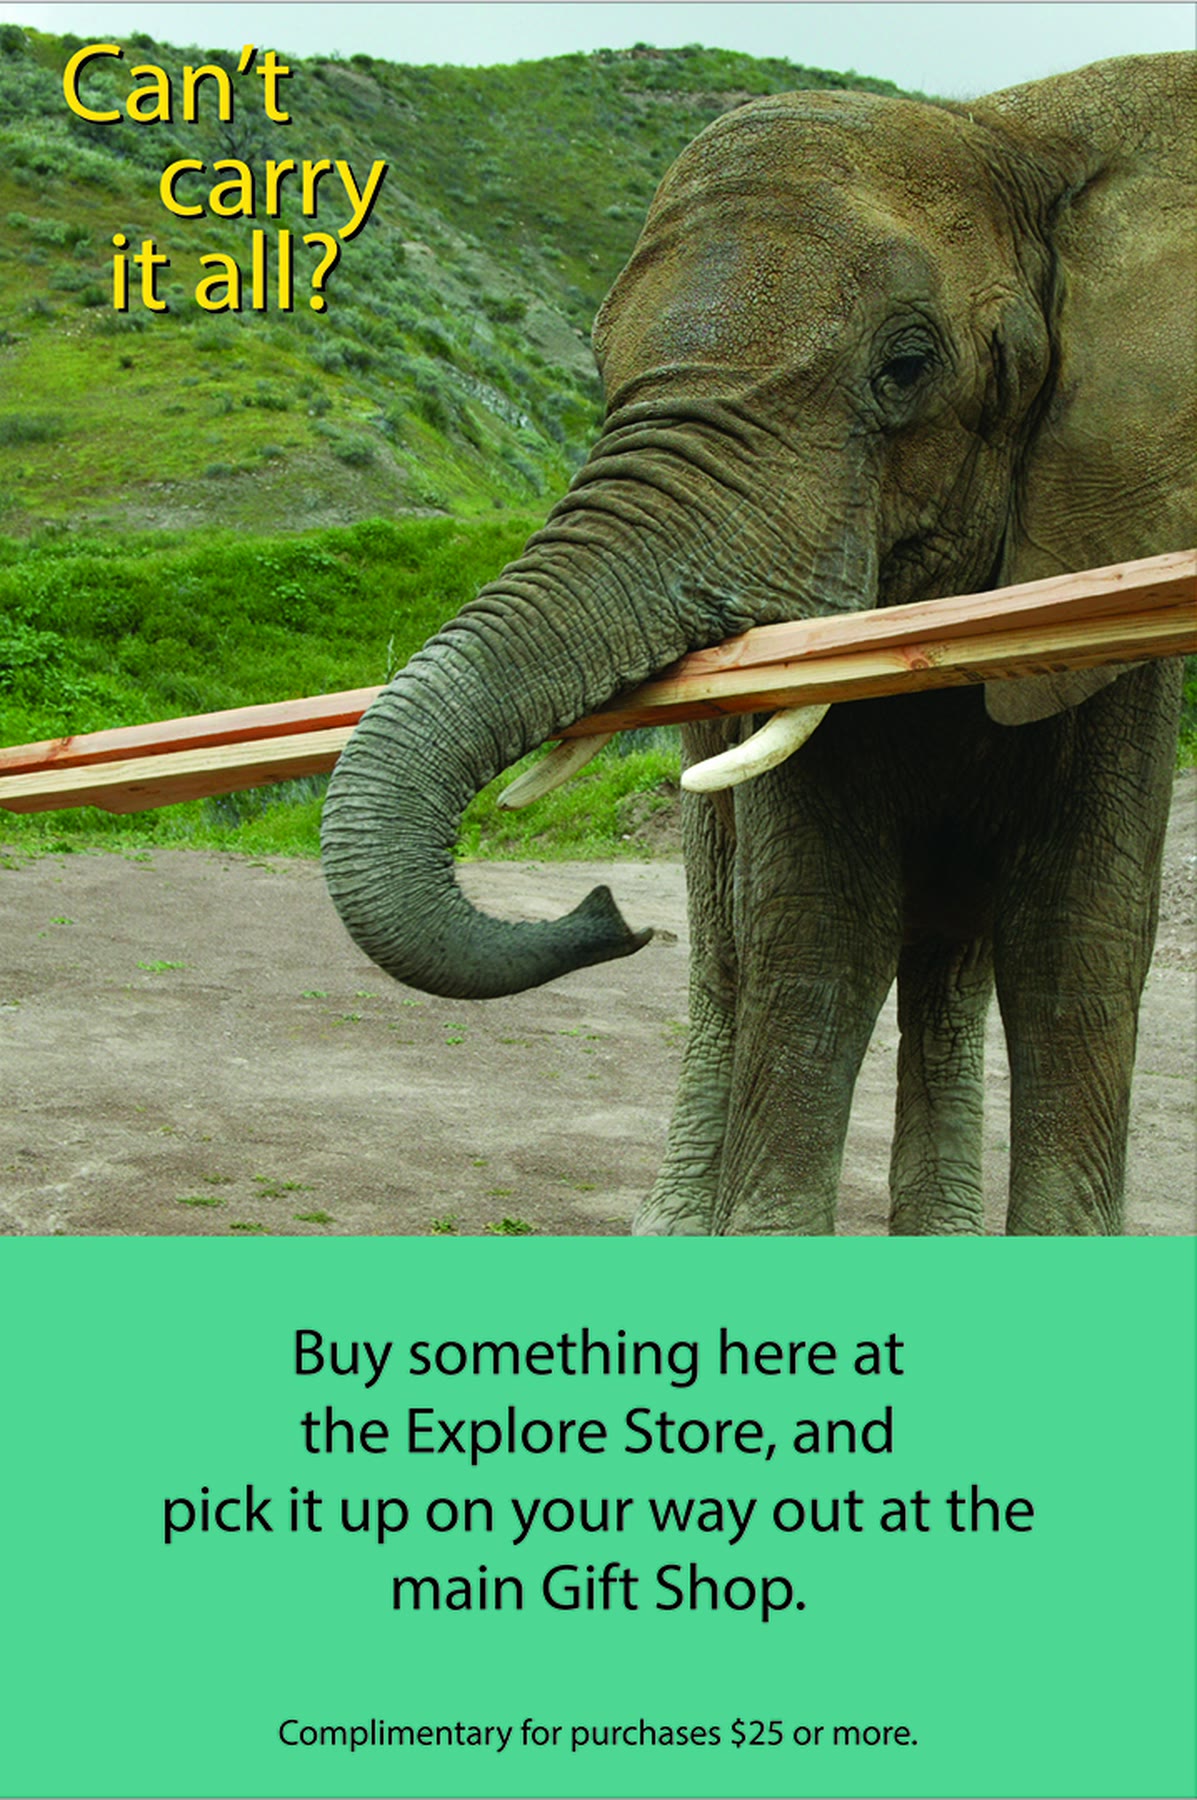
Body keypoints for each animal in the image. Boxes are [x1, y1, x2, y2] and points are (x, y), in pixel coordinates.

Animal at [321, 52, 1194, 1236]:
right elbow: (817, 929)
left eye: (907, 365)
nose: (603, 912)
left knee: (950, 961)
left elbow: (1080, 939)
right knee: (733, 941)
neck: (1013, 135)